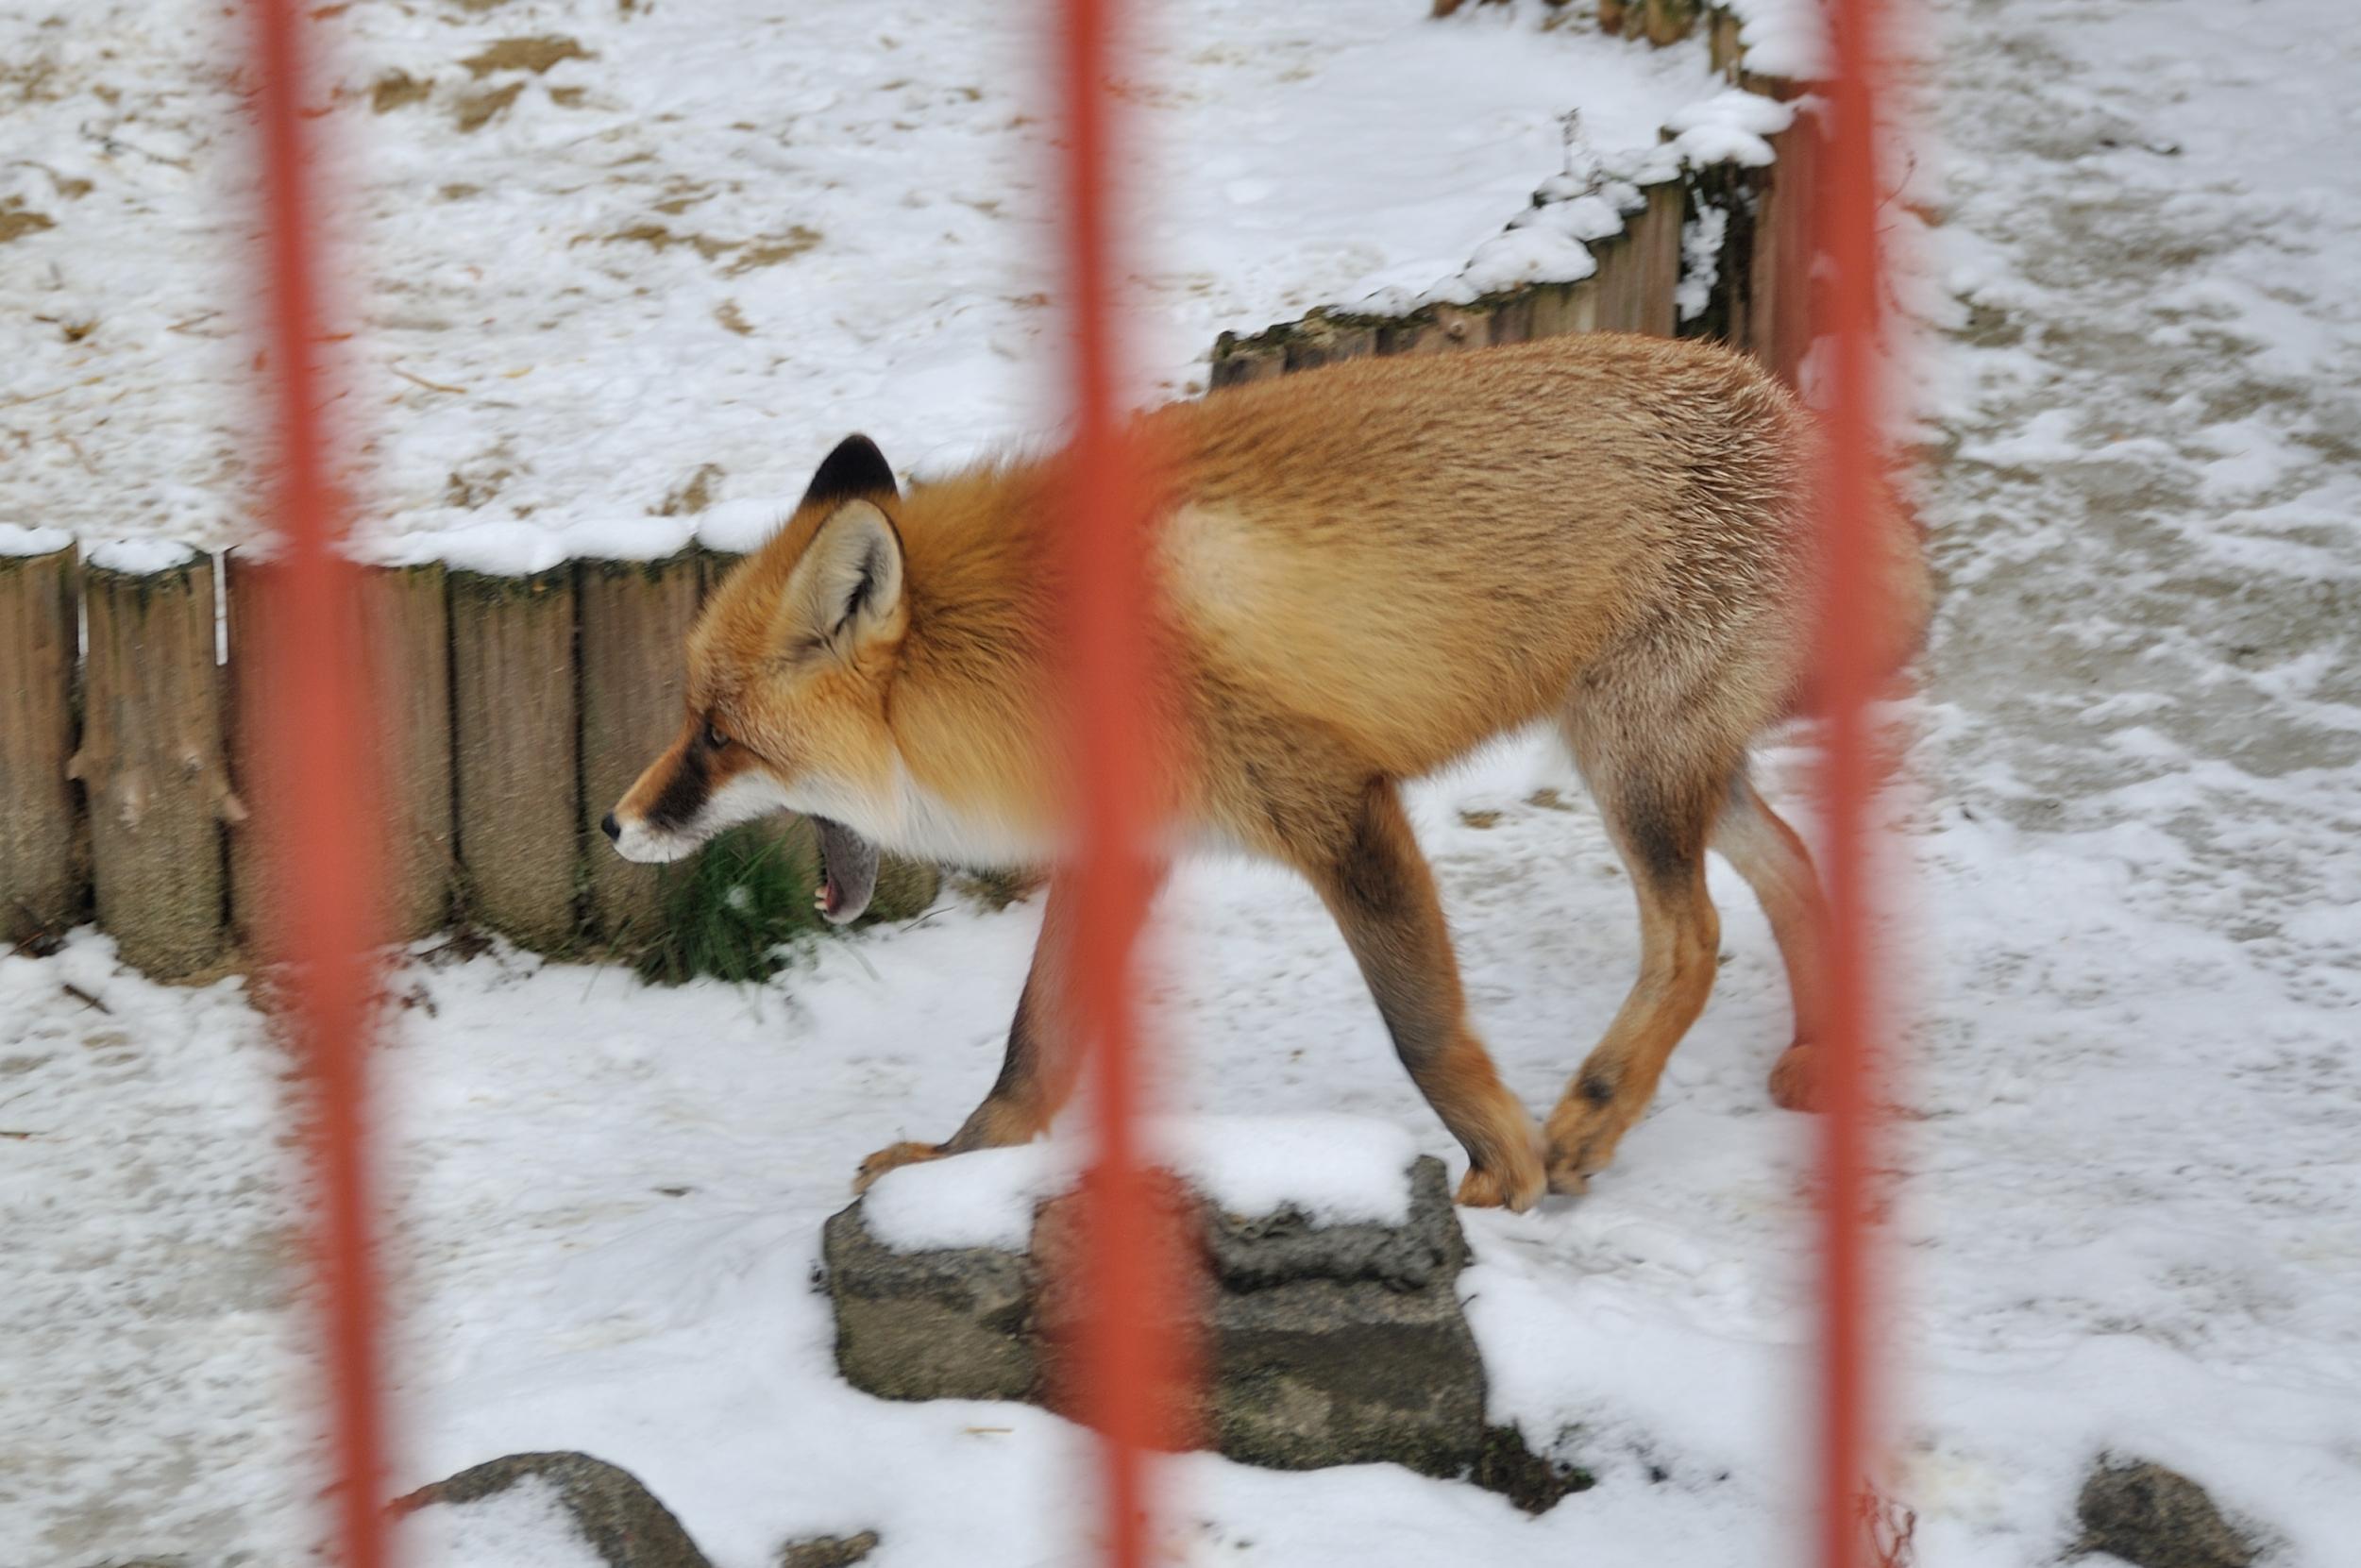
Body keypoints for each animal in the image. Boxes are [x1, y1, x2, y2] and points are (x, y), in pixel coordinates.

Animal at [609, 332, 1935, 1208]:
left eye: (716, 731)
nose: (617, 824)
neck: (1020, 652)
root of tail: (1779, 400)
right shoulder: (1131, 838)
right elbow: (1033, 1046)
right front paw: (958, 1166)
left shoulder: (1333, 804)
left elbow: (1422, 1028)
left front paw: (1498, 1169)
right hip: (1662, 756)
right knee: (1789, 857)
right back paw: (1817, 1053)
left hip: (1630, 761)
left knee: (1693, 936)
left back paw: (1590, 1116)